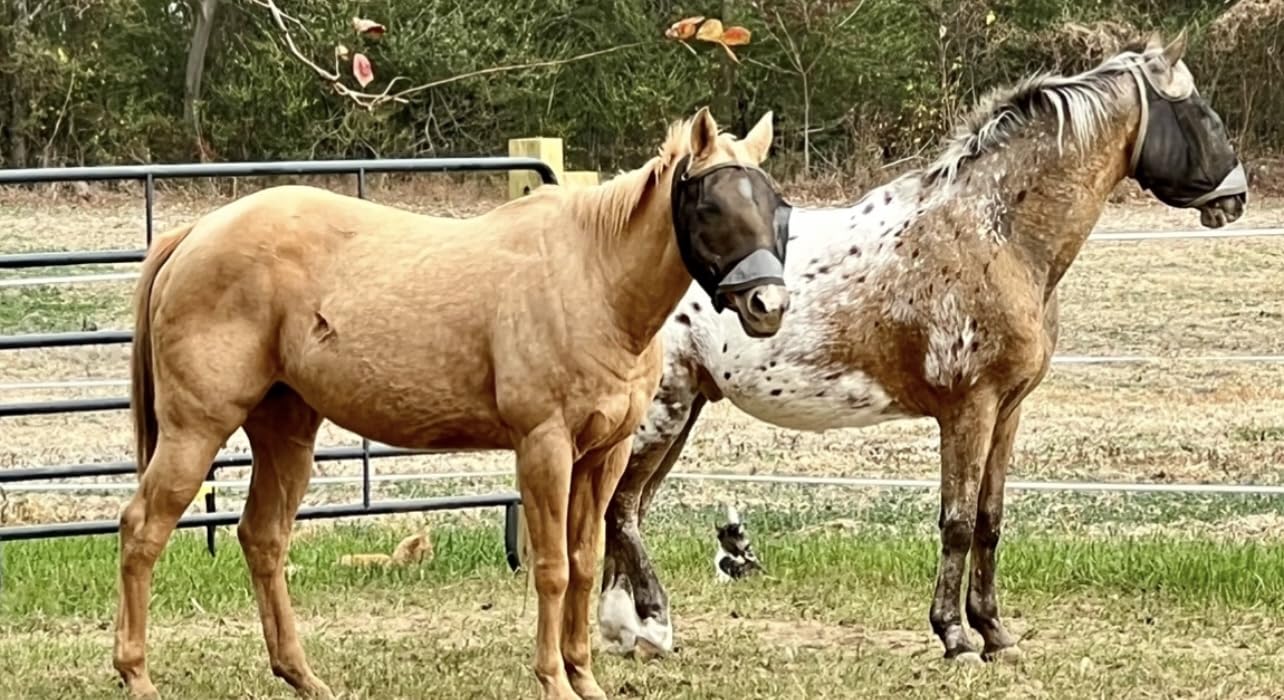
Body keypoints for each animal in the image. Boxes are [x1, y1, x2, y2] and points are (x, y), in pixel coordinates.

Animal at [112, 106, 795, 700]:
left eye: (776, 205)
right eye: (710, 203)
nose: (769, 305)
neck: (593, 278)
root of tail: (194, 234)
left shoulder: (605, 453)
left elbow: (584, 560)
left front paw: (583, 677)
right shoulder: (544, 446)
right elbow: (552, 566)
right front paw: (553, 681)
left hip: (285, 431)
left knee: (263, 538)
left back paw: (302, 676)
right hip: (196, 430)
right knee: (143, 529)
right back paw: (137, 675)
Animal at [599, 32, 1247, 664]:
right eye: (1199, 111)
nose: (1235, 198)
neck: (995, 234)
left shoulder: (1007, 411)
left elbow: (989, 519)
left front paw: (996, 634)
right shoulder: (969, 409)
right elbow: (956, 522)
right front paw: (955, 638)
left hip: (682, 412)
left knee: (623, 509)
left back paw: (621, 629)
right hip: (662, 412)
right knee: (621, 508)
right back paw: (648, 626)